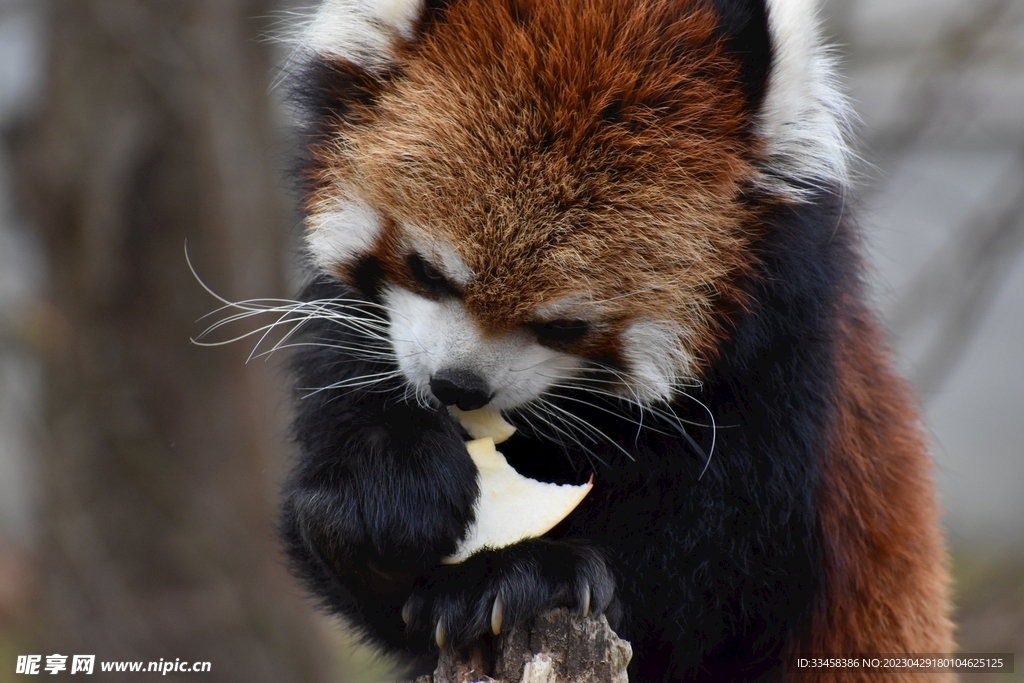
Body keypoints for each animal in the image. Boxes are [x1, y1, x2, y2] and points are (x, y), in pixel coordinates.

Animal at [276, 0, 954, 679]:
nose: (458, 387)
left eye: (565, 326)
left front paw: (525, 577)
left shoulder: (783, 383)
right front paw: (382, 501)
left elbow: (705, 597)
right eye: (427, 271)